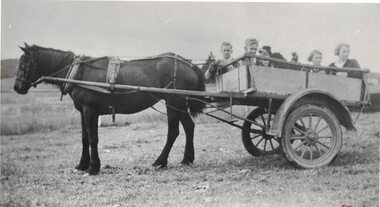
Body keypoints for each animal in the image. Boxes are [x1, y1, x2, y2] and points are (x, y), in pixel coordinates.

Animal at [14, 43, 205, 175]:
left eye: (23, 64)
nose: (17, 87)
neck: (79, 72)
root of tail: (188, 64)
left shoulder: (90, 110)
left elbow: (93, 138)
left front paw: (93, 167)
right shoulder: (83, 111)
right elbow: (84, 138)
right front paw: (82, 164)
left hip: (174, 102)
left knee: (174, 132)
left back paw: (161, 161)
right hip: (177, 104)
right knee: (188, 127)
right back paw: (186, 159)